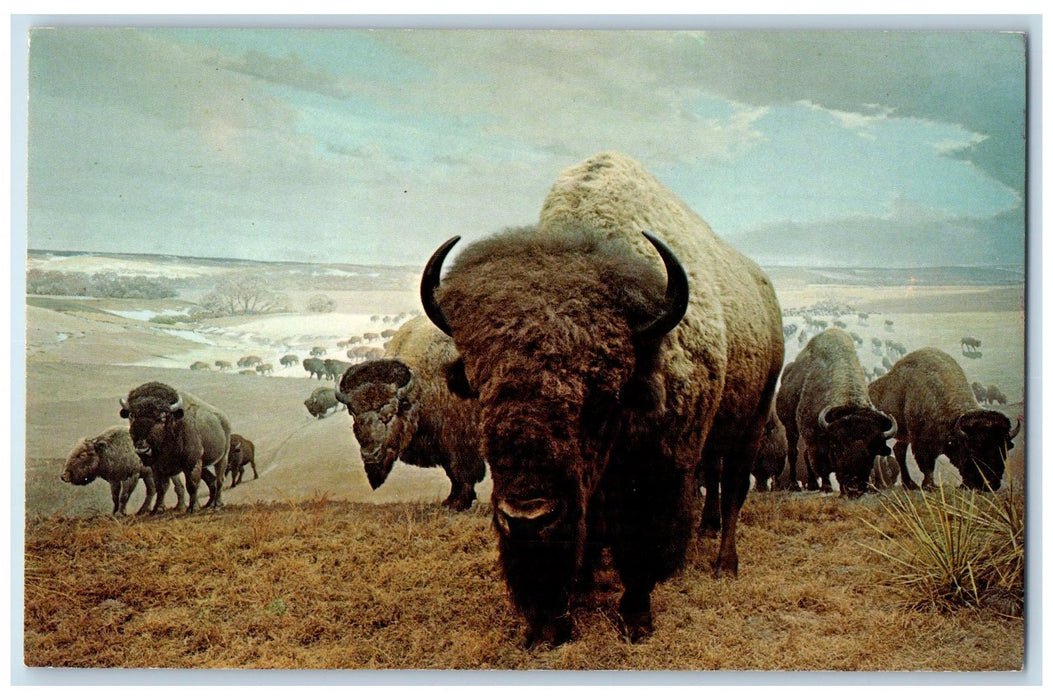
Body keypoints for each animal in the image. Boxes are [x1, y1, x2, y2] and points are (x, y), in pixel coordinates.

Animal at [120, 382, 231, 513]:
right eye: (131, 415)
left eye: (162, 417)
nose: (142, 448)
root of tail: (223, 419)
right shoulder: (157, 467)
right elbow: (161, 487)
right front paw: (157, 509)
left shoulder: (192, 463)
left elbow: (192, 485)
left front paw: (193, 508)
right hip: (204, 465)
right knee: (212, 480)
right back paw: (209, 504)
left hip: (222, 458)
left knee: (219, 479)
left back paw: (217, 505)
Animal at [335, 316, 486, 511]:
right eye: (354, 415)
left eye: (389, 415)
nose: (370, 455)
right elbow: (453, 474)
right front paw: (451, 501)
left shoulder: (460, 444)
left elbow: (461, 473)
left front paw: (457, 503)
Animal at [420, 152, 783, 645]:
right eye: (479, 391)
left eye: (601, 395)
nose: (528, 518)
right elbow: (588, 534)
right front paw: (560, 613)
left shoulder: (659, 469)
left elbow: (640, 545)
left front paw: (636, 618)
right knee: (714, 482)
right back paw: (704, 534)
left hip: (754, 420)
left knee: (734, 490)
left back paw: (725, 563)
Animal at [776, 329, 897, 498]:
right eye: (839, 447)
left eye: (872, 451)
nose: (854, 487)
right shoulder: (815, 440)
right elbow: (822, 466)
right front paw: (826, 487)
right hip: (790, 425)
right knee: (794, 452)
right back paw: (794, 485)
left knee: (805, 454)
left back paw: (813, 484)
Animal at [870, 348, 1020, 491]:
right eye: (972, 451)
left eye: (1005, 450)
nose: (990, 484)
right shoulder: (921, 443)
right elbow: (927, 466)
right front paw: (929, 485)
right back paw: (883, 484)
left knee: (898, 450)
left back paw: (909, 484)